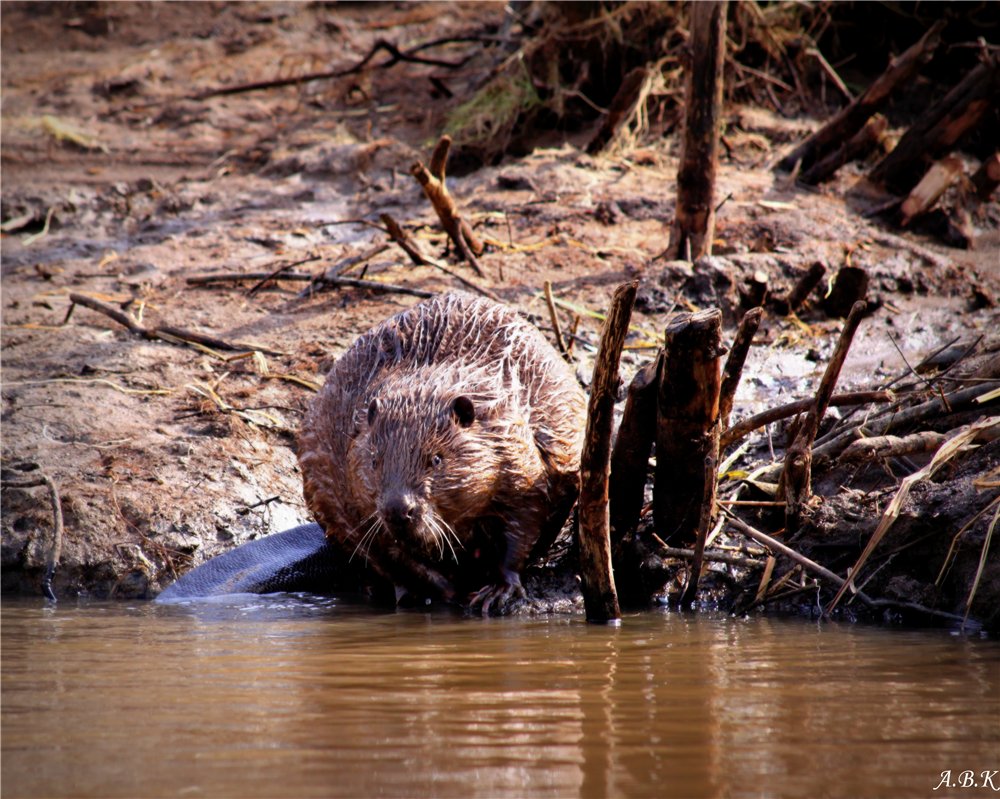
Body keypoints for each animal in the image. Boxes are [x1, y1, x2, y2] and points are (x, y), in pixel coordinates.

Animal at [300, 292, 588, 612]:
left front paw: (496, 592)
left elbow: (522, 524)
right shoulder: (346, 494)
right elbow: (386, 552)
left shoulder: (516, 455)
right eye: (375, 461)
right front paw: (441, 593)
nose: (399, 509)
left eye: (436, 459)